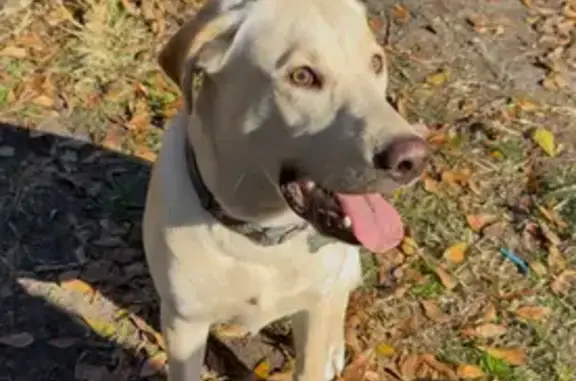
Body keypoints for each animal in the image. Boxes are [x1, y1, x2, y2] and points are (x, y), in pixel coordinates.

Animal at [145, 0, 428, 378]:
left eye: (375, 62)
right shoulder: (184, 325)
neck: (261, 237)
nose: (413, 159)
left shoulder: (313, 310)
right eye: (302, 76)